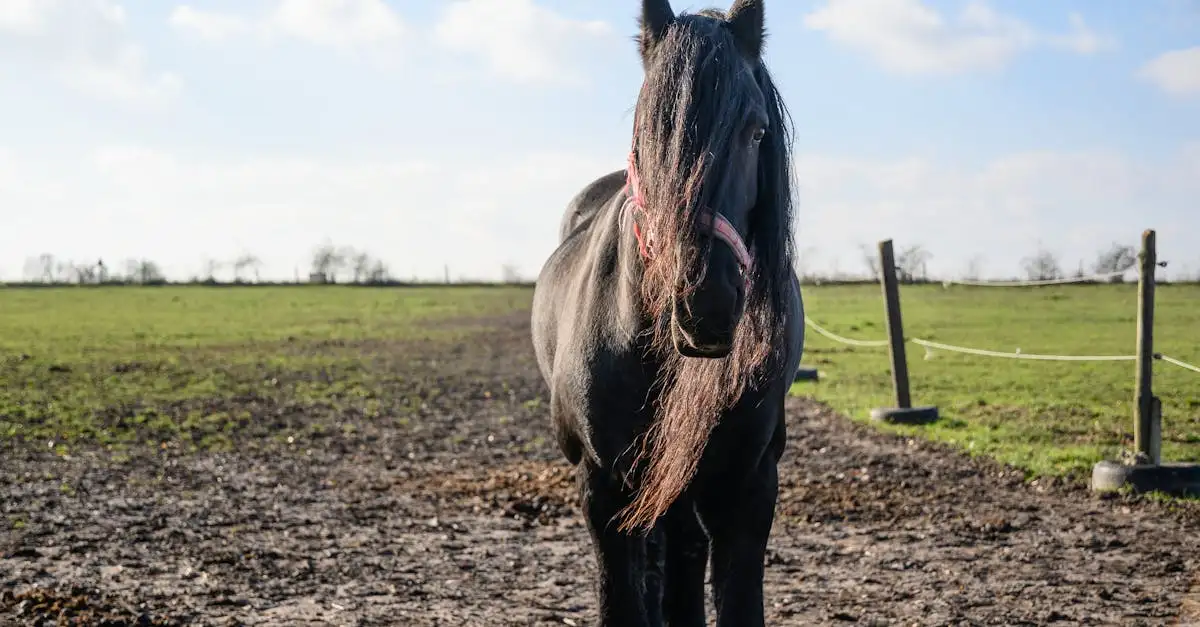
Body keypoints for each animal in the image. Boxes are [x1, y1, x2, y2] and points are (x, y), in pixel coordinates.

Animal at [529, 0, 804, 624]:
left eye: (756, 131)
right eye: (645, 130)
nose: (706, 302)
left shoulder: (749, 485)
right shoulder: (603, 487)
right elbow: (623, 599)